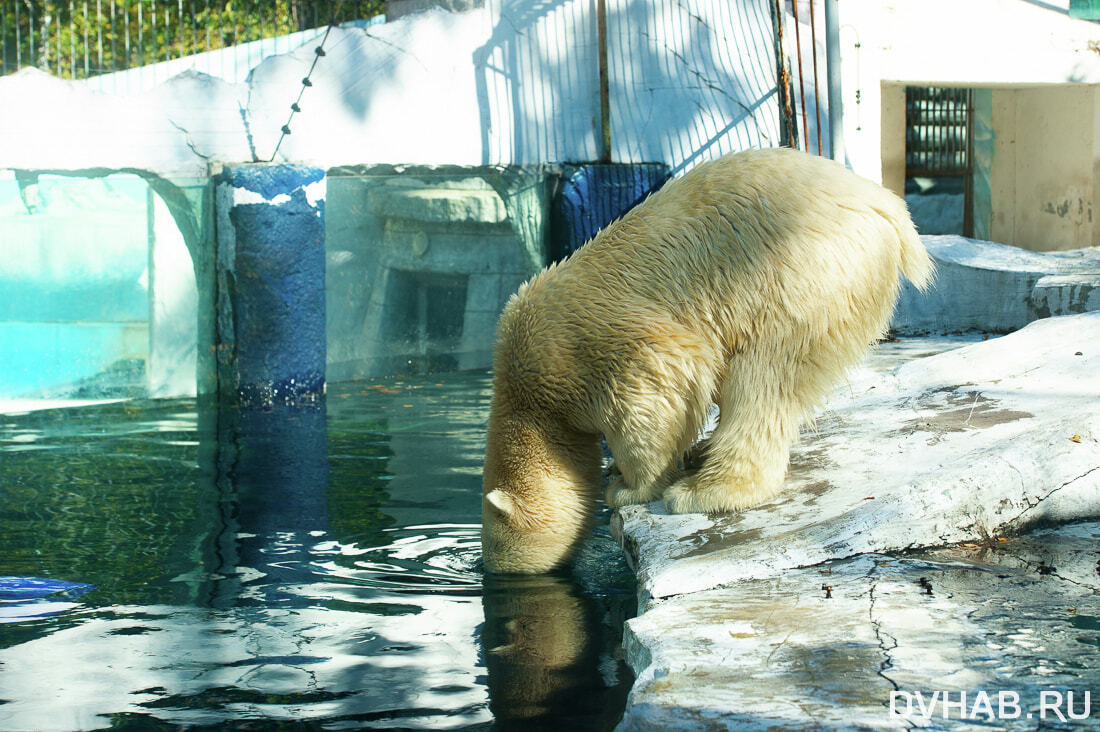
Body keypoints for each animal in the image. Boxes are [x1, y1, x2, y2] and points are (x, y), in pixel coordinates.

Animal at [479, 147, 928, 572]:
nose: (491, 569)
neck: (532, 399)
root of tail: (888, 210)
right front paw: (618, 473)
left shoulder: (586, 348)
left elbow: (651, 394)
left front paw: (629, 488)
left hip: (797, 278)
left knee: (761, 381)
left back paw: (703, 490)